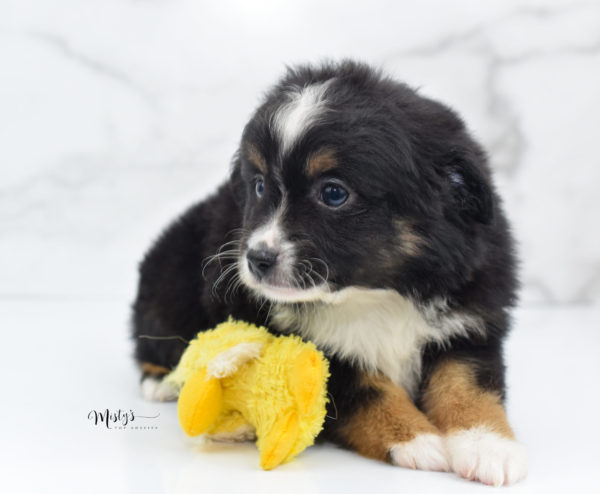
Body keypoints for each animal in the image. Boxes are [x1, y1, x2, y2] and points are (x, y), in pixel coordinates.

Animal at [131, 58, 524, 486]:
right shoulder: (314, 355)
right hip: (170, 280)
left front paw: (486, 445)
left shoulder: (471, 320)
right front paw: (416, 440)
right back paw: (164, 384)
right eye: (259, 185)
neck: (378, 293)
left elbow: (469, 385)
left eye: (334, 193)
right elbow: (368, 392)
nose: (257, 259)